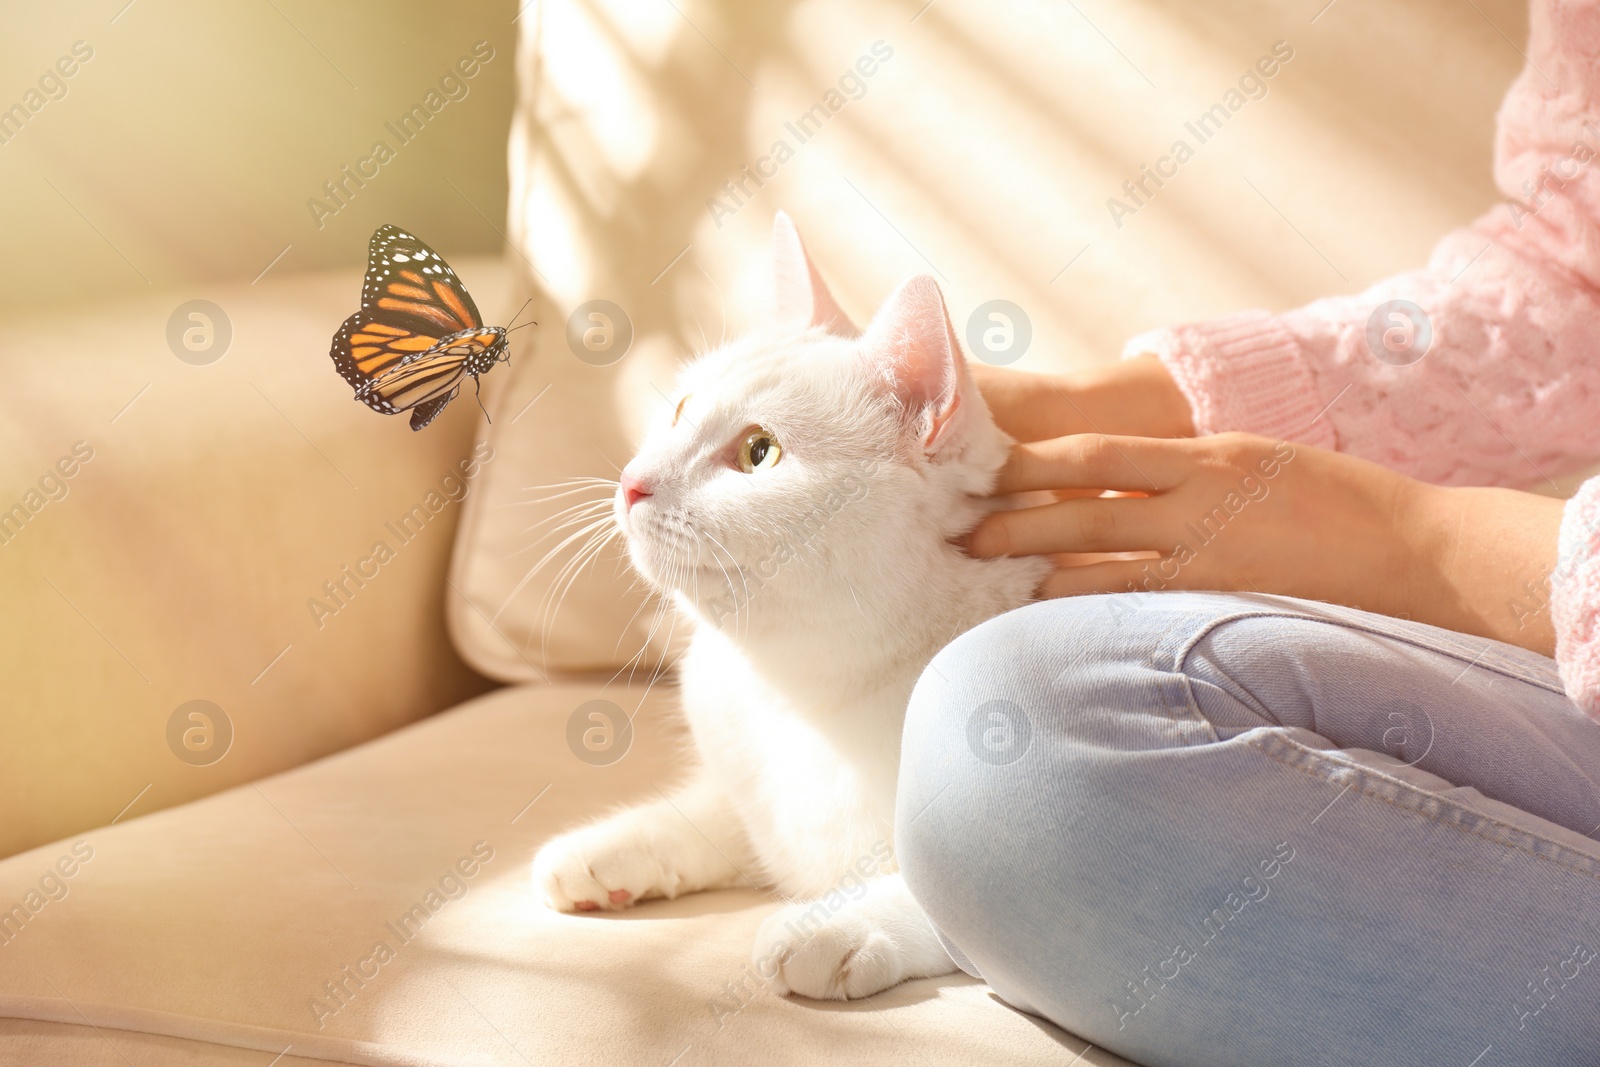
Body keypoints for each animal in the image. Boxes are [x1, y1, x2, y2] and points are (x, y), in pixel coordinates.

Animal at [531, 211, 1043, 1004]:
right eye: (680, 409)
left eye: (759, 452)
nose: (631, 481)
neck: (803, 695)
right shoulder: (753, 791)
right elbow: (719, 817)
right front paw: (610, 848)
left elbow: (954, 899)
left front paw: (836, 925)